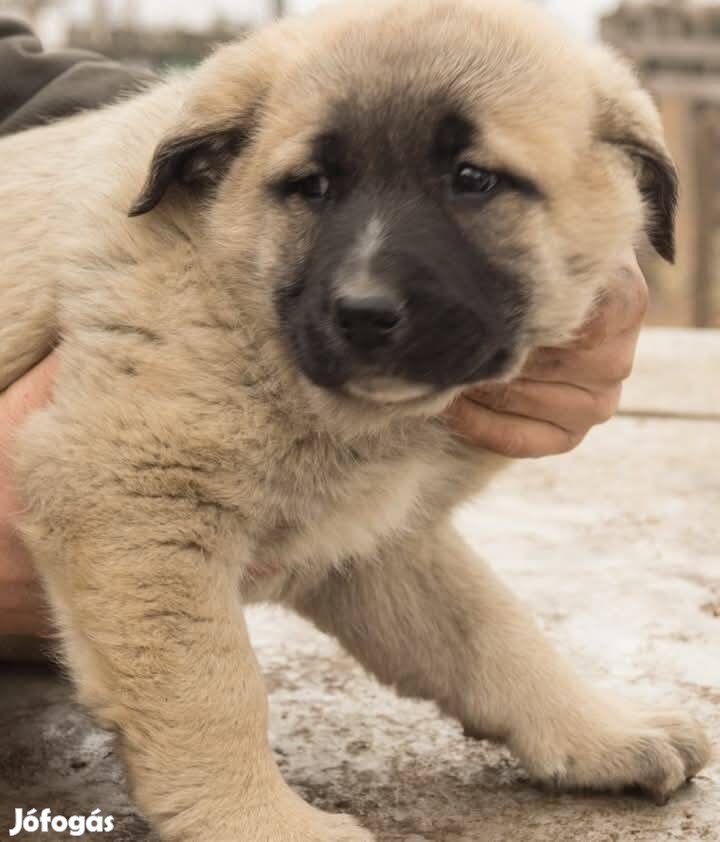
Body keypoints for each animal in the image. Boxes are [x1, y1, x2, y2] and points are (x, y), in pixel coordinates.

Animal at [0, 1, 708, 840]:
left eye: (472, 179)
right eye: (312, 186)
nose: (364, 313)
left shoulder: (377, 533)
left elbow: (491, 627)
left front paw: (597, 730)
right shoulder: (129, 495)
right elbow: (212, 688)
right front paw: (259, 818)